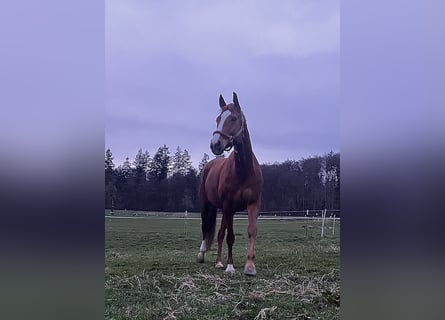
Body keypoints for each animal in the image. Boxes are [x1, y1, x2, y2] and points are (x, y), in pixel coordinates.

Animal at [196, 92, 262, 276]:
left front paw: (250, 266)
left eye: (233, 118)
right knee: (205, 228)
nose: (215, 144)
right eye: (218, 119)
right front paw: (230, 266)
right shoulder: (228, 205)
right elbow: (230, 237)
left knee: (219, 233)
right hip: (208, 206)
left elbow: (251, 231)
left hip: (225, 210)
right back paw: (202, 254)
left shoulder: (253, 203)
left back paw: (219, 262)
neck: (244, 170)